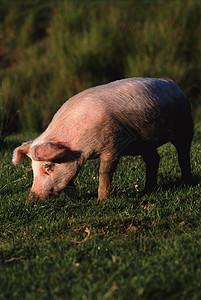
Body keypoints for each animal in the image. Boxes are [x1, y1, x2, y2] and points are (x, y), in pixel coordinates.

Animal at [12, 78, 193, 203]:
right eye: (33, 169)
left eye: (49, 166)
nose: (31, 198)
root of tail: (174, 85)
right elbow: (70, 179)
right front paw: (75, 199)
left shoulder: (111, 145)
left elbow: (104, 171)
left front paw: (102, 200)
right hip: (144, 143)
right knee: (154, 159)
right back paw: (148, 190)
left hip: (185, 125)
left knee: (183, 155)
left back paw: (188, 183)